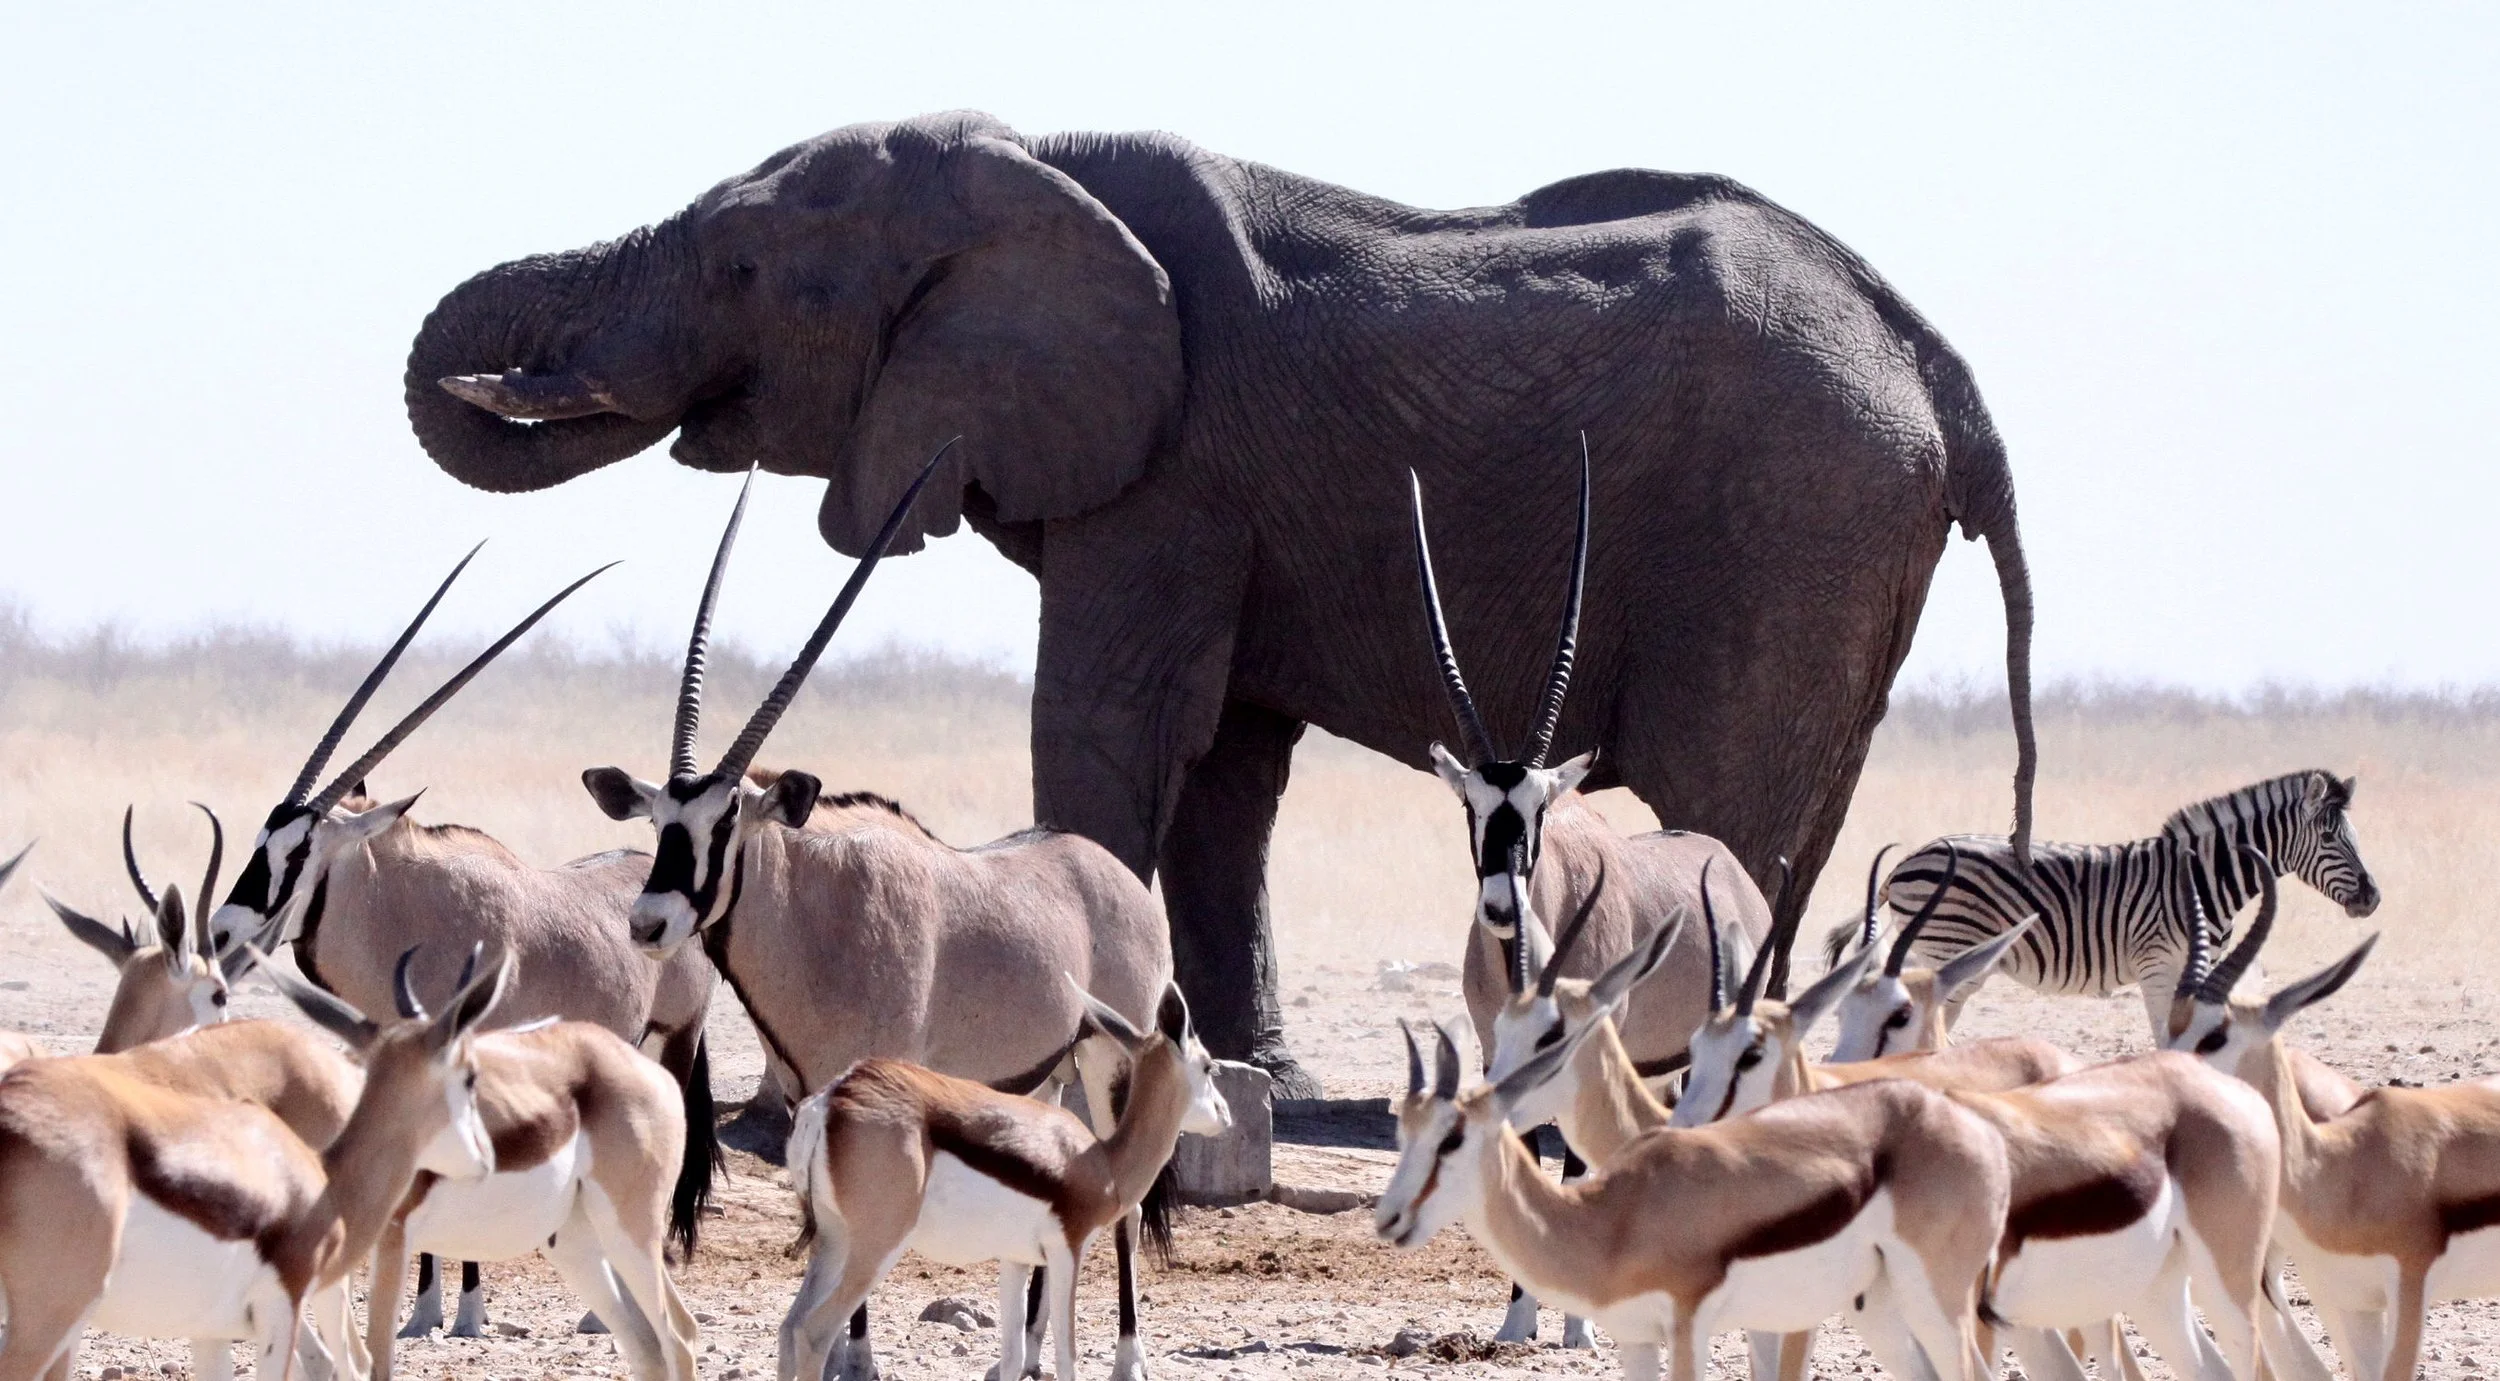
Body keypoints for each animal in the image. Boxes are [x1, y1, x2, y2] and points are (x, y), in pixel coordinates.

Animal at [407, 111, 2037, 1098]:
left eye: (743, 267)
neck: (1029, 161)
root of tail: (1940, 368)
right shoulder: (1221, 496)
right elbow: (1226, 770)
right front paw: (1261, 1082)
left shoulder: (1170, 468)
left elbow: (1115, 724)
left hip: (1786, 521)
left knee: (1726, 798)